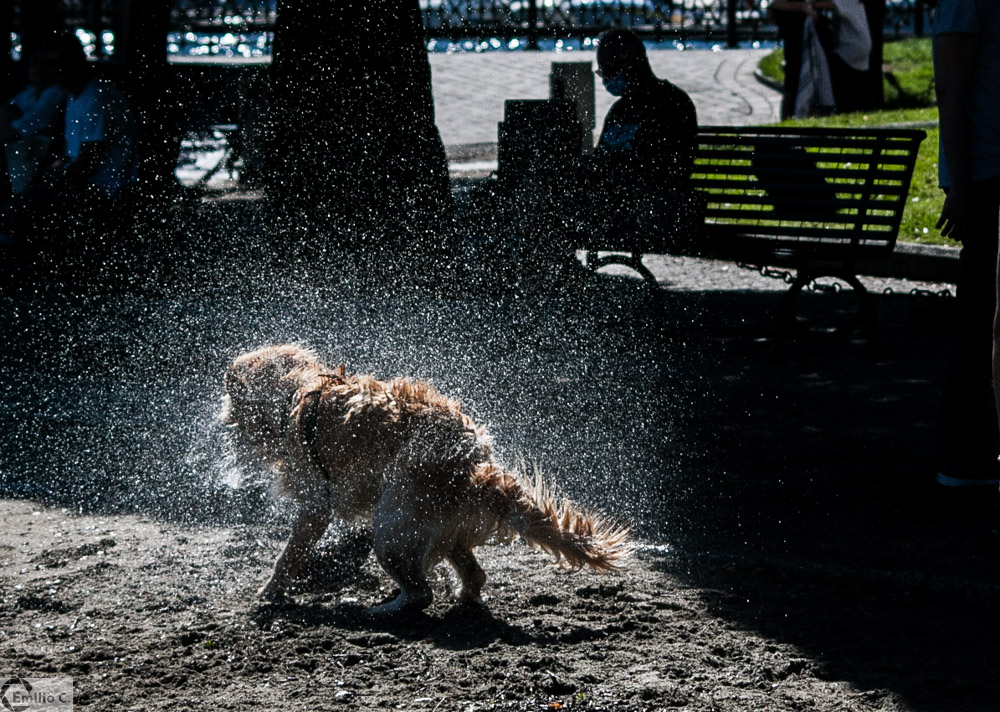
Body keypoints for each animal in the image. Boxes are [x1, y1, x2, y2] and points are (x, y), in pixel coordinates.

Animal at [222, 344, 628, 612]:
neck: (298, 394)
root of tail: (474, 467)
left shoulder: (315, 505)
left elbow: (289, 555)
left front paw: (270, 592)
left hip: (390, 530)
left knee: (421, 593)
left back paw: (384, 609)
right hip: (439, 526)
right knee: (472, 573)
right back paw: (462, 599)